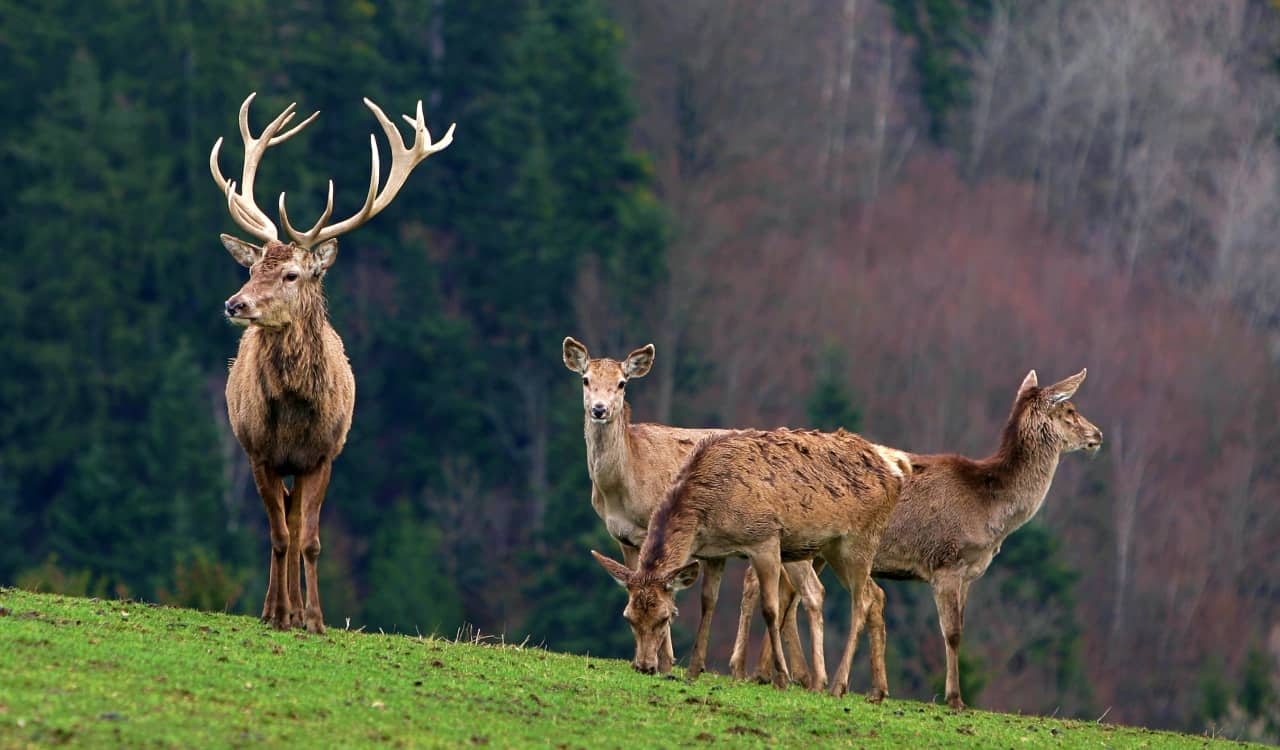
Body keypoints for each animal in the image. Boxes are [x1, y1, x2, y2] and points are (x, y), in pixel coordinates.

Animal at [207, 92, 453, 629]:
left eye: (293, 274)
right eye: (253, 268)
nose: (235, 304)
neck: (295, 416)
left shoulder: (323, 453)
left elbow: (311, 540)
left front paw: (314, 619)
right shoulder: (259, 452)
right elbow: (280, 536)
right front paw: (280, 614)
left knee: (298, 521)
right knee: (281, 527)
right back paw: (275, 608)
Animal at [563, 337, 824, 680]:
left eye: (622, 383)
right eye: (585, 379)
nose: (599, 409)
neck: (622, 486)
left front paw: (665, 660)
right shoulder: (623, 536)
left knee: (811, 591)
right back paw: (785, 674)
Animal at [591, 427, 911, 696]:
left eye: (666, 617)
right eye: (629, 618)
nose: (644, 666)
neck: (708, 509)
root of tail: (895, 471)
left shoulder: (765, 539)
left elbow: (770, 608)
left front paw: (781, 677)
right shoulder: (714, 553)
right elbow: (708, 602)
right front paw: (693, 670)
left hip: (861, 540)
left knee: (861, 600)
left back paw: (837, 685)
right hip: (831, 548)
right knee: (873, 593)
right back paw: (870, 691)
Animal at [732, 368, 1100, 706]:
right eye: (1070, 410)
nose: (1097, 434)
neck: (989, 508)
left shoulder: (969, 574)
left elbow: (959, 628)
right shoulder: (946, 561)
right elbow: (952, 633)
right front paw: (955, 698)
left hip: (813, 549)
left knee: (779, 592)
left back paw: (774, 673)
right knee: (767, 586)